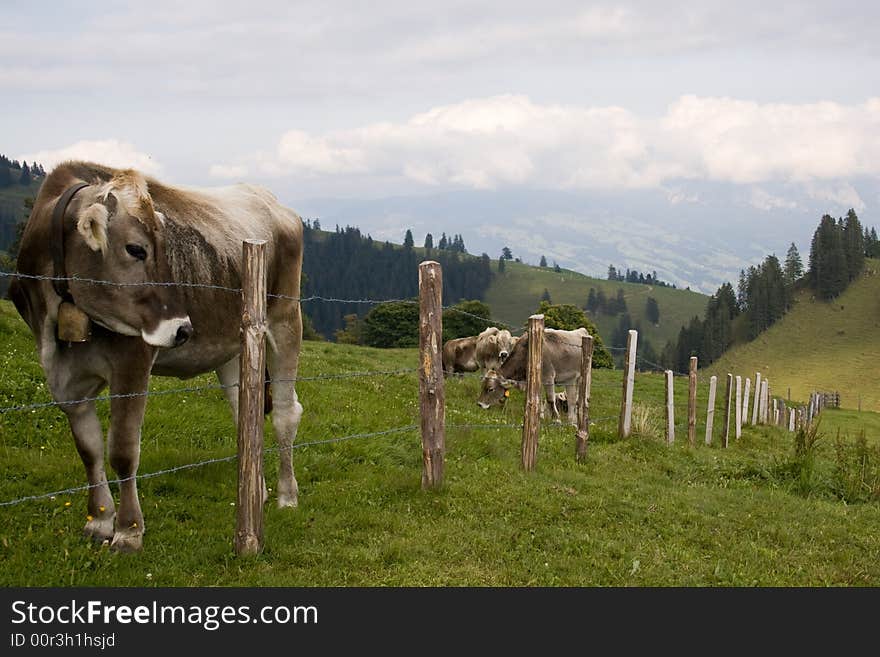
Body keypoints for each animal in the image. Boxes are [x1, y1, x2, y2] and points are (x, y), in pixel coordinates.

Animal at [7, 161, 306, 552]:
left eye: (167, 249)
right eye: (136, 249)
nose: (183, 329)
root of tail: (268, 198)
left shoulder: (132, 362)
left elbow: (122, 450)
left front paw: (128, 531)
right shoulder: (64, 380)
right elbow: (89, 450)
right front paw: (99, 521)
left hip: (285, 318)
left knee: (285, 413)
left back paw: (287, 495)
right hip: (234, 346)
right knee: (246, 413)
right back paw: (258, 491)